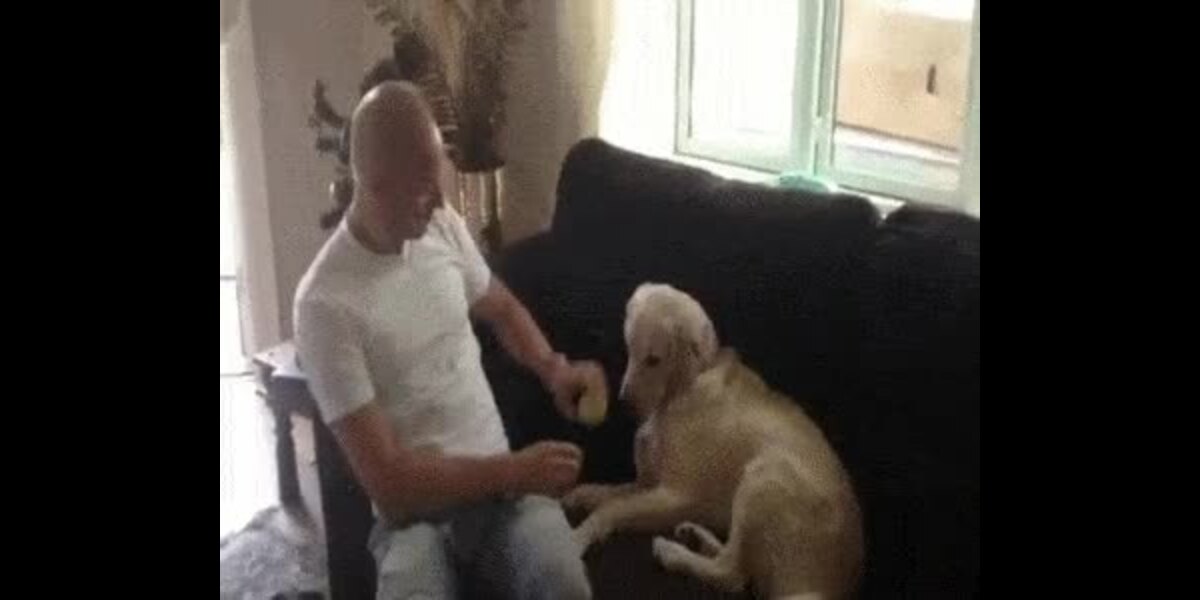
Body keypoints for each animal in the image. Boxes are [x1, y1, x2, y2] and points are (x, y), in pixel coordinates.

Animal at [563, 283, 863, 600]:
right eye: (630, 350)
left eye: (654, 360)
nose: (623, 403)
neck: (684, 386)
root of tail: (828, 589)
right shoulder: (649, 483)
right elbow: (611, 493)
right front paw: (581, 493)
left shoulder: (675, 494)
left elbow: (612, 508)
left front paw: (579, 535)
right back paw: (700, 538)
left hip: (764, 476)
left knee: (732, 575)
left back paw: (673, 553)